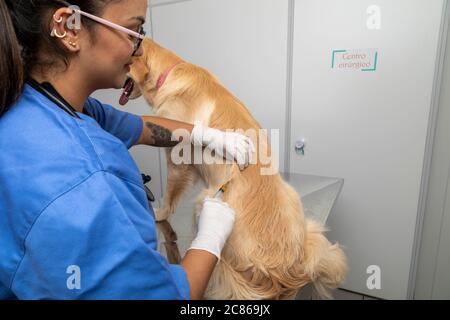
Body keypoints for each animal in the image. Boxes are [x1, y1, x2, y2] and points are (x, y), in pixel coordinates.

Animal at [126, 38, 348, 300]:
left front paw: (160, 212)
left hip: (204, 200)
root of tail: (285, 274)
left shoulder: (177, 160)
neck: (170, 71)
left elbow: (171, 193)